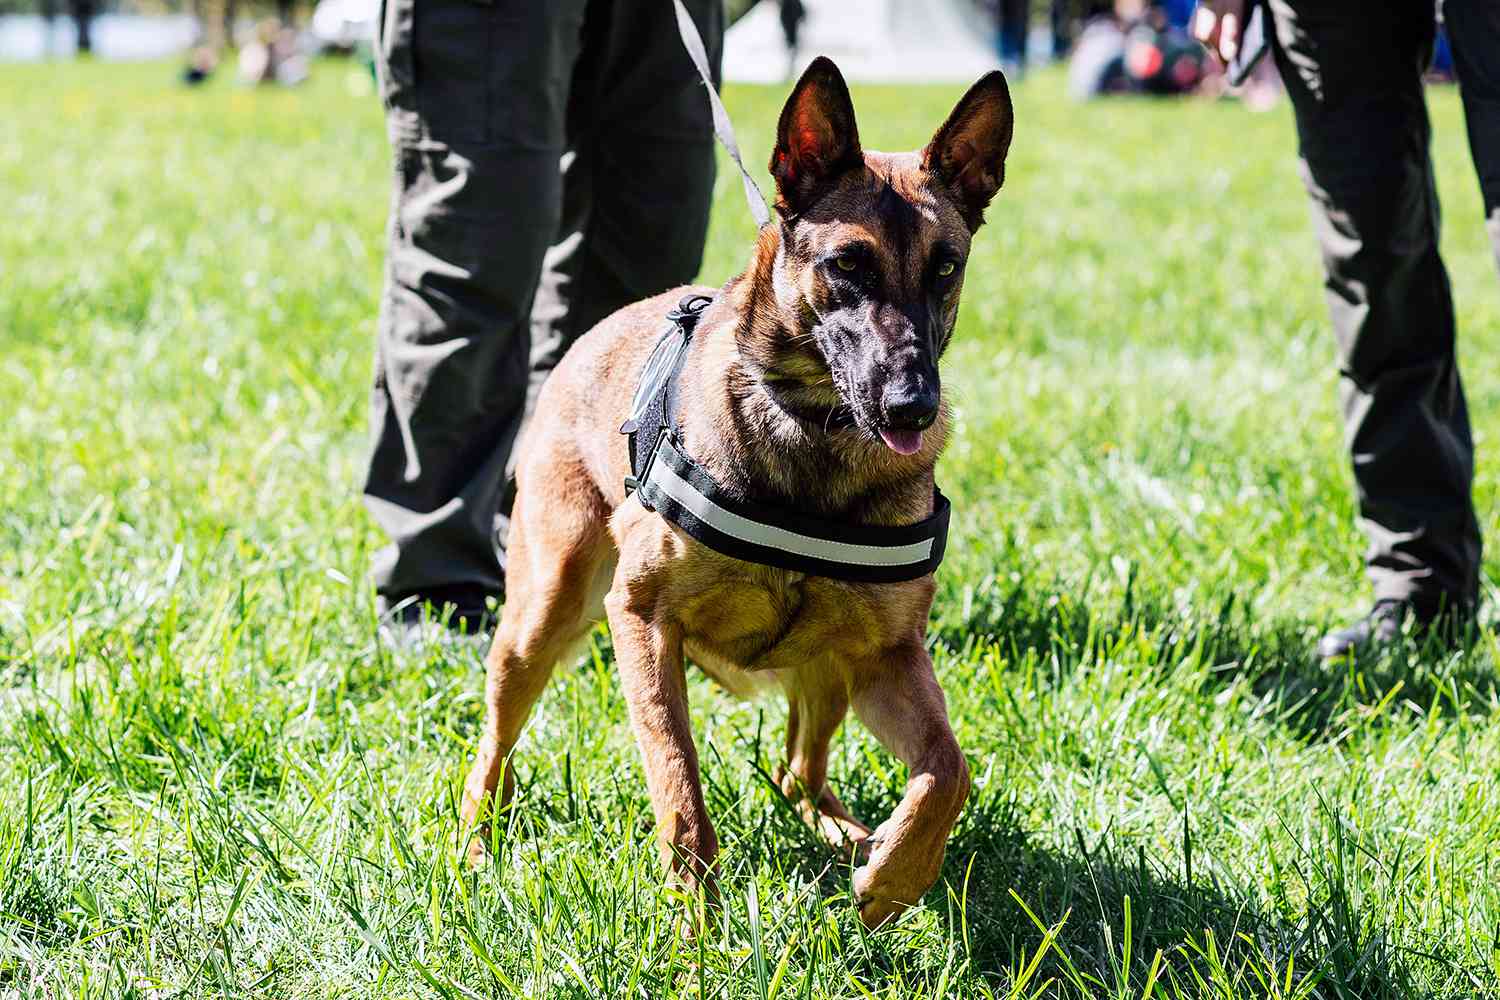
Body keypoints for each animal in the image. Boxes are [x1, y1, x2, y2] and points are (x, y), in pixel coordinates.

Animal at [462, 56, 1014, 929]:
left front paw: (895, 879)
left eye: (945, 267)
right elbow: (678, 782)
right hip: (541, 614)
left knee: (798, 774)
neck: (815, 442)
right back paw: (476, 847)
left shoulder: (888, 657)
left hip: (829, 667)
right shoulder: (642, 620)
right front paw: (695, 920)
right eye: (847, 265)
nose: (912, 407)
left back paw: (850, 837)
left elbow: (947, 771)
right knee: (492, 743)